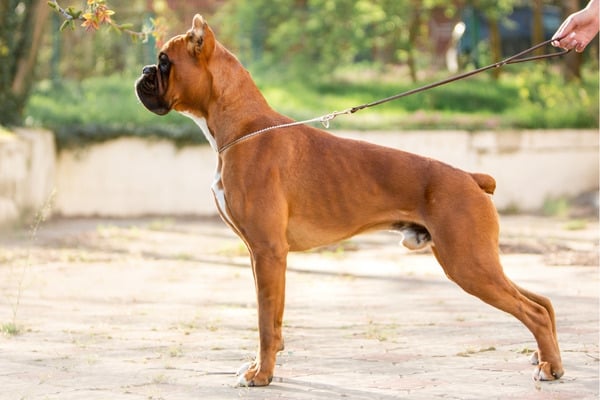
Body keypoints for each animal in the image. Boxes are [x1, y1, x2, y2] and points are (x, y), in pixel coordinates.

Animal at [135, 14, 564, 386]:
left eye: (164, 61)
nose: (142, 71)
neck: (243, 128)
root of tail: (473, 178)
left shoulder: (268, 251)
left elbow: (263, 322)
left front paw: (262, 375)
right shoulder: (264, 256)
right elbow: (273, 319)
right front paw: (264, 365)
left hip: (468, 263)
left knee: (533, 311)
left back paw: (550, 368)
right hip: (478, 262)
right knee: (543, 301)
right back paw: (546, 359)